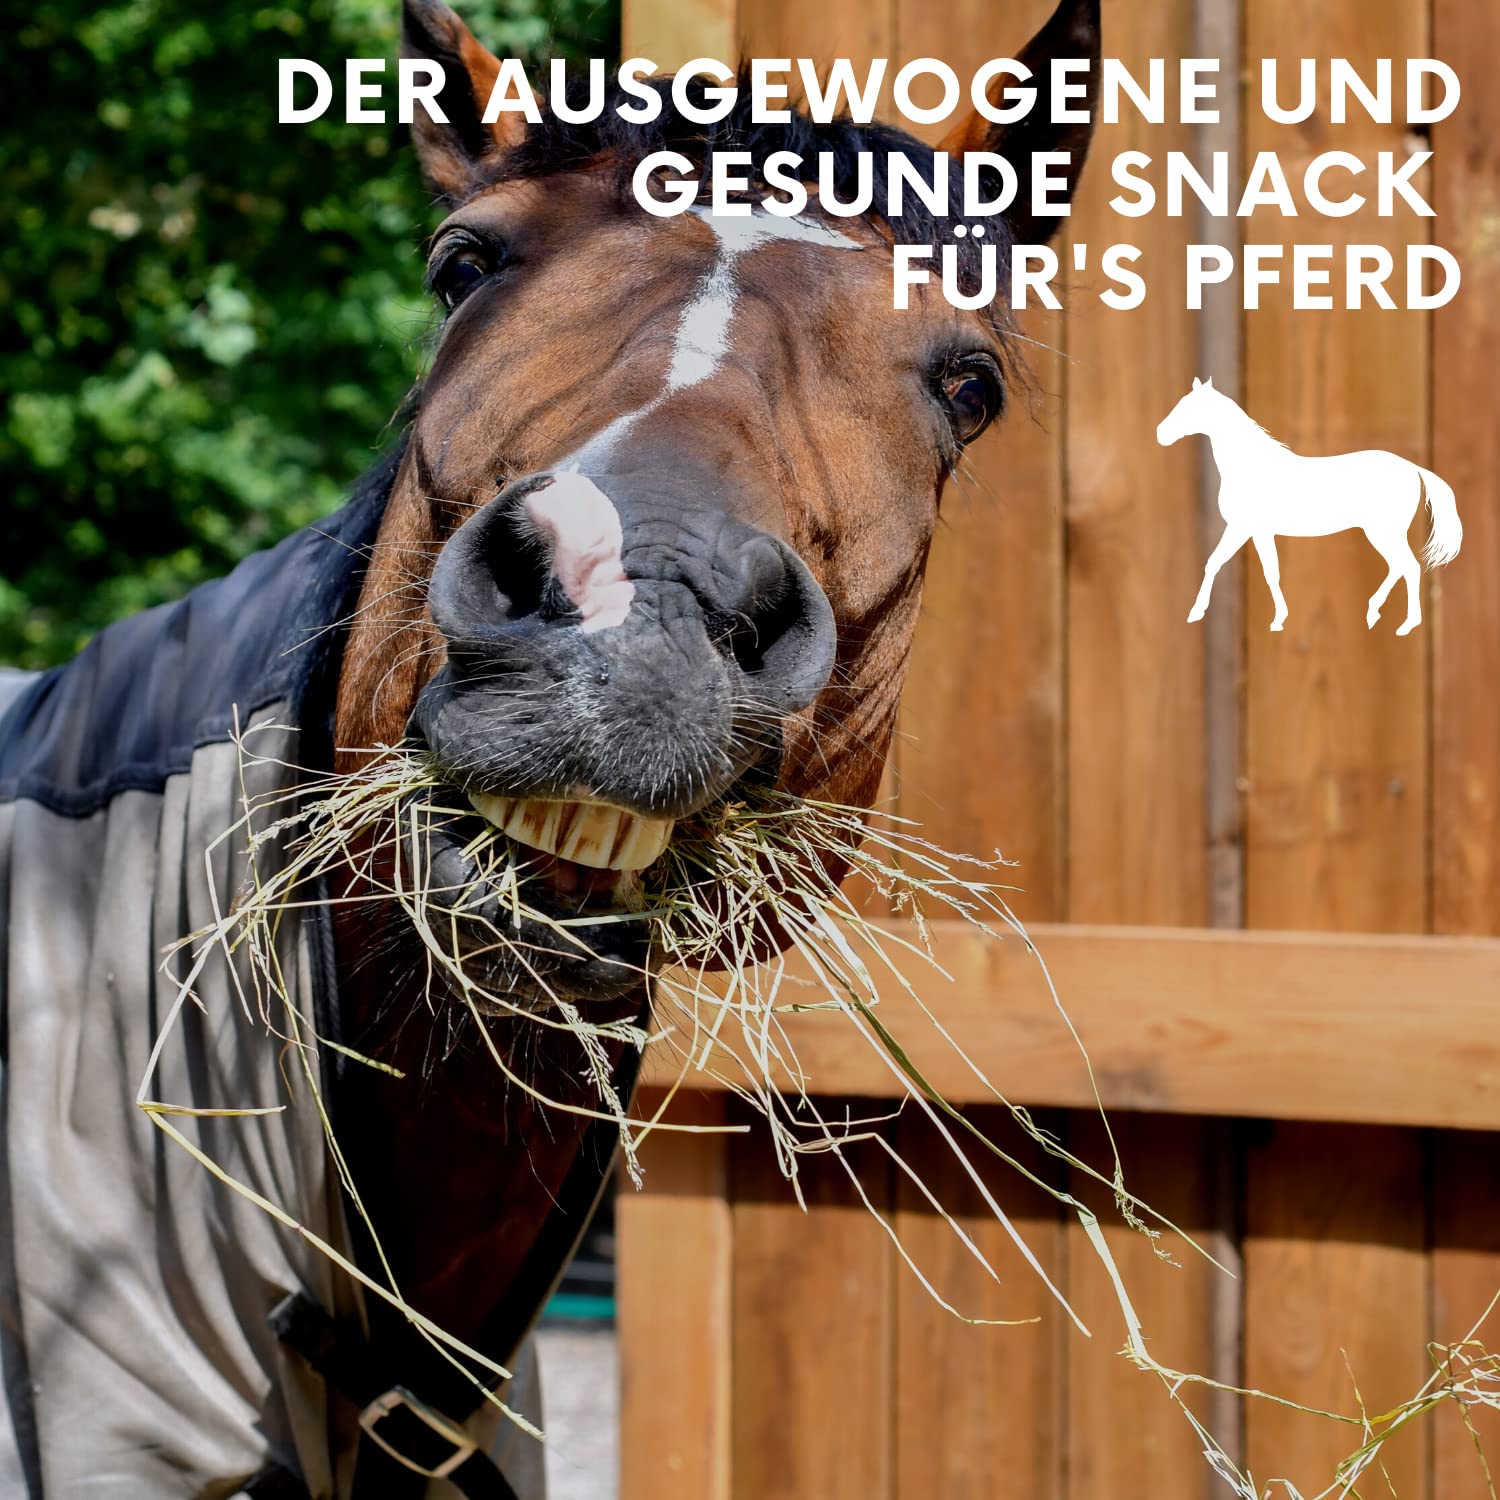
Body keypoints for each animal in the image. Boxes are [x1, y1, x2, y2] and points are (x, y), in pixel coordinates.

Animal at [1157, 375, 1462, 635]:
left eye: (1188, 408)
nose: (1161, 433)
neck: (1252, 467)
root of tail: (1412, 467)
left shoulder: (1247, 529)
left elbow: (1250, 569)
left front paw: (1272, 620)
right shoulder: (1250, 531)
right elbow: (1235, 566)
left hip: (1384, 532)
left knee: (1408, 566)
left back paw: (1405, 625)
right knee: (1398, 566)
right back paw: (1374, 612)